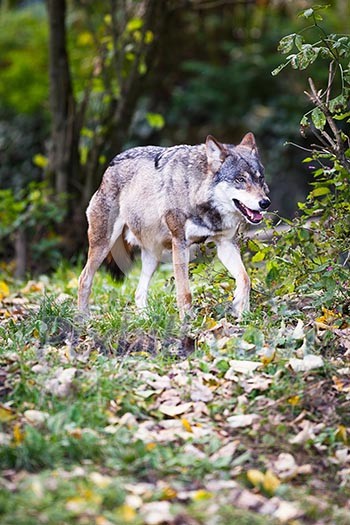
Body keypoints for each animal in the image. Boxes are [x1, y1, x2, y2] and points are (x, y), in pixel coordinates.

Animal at [78, 133, 270, 318]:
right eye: (240, 179)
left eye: (260, 179)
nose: (265, 203)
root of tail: (110, 166)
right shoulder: (180, 243)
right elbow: (185, 292)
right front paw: (187, 321)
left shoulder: (226, 244)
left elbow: (245, 279)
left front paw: (242, 311)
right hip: (103, 245)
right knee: (83, 279)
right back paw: (83, 318)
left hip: (152, 256)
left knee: (138, 293)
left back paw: (146, 320)